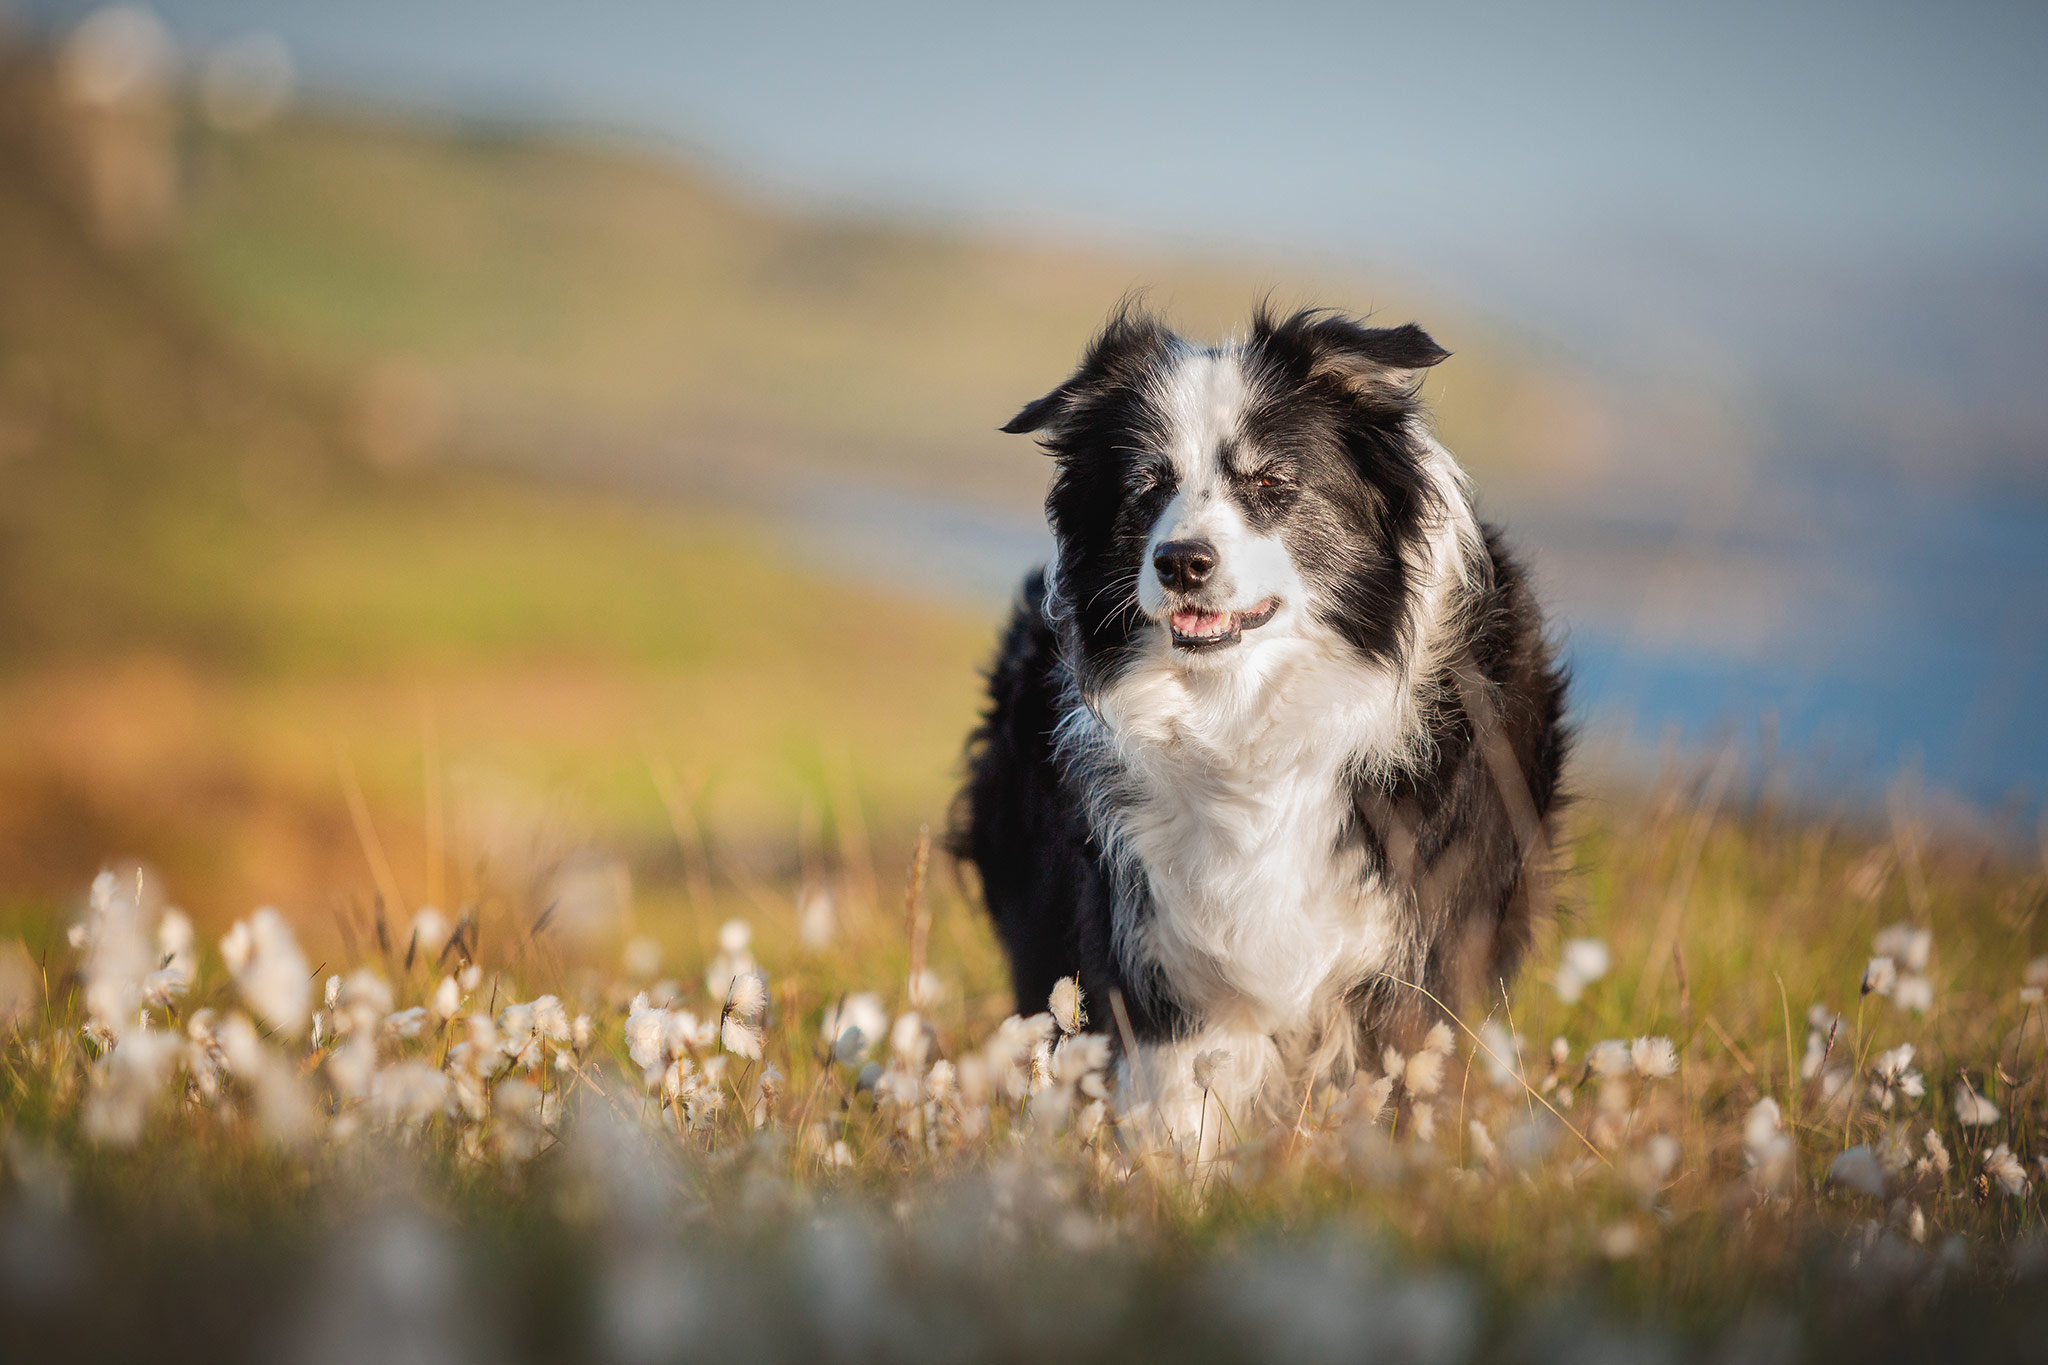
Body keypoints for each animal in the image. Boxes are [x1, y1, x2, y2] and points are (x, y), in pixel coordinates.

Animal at [958, 300, 1564, 1146]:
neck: (1245, 720)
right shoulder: (1155, 951)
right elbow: (1179, 1112)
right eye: (1147, 486)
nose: (1182, 561)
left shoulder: (1421, 948)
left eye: (1272, 481)